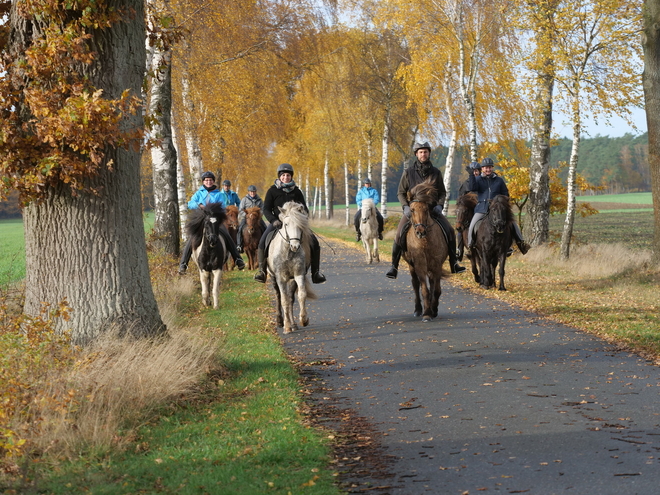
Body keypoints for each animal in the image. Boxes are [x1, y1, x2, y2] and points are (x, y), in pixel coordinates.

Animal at [270, 203, 318, 336]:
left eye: (300, 224)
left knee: (291, 298)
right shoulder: (280, 278)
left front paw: (303, 319)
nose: (295, 246)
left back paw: (294, 325)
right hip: (273, 278)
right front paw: (286, 327)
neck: (288, 252)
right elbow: (284, 300)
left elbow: (301, 295)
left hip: (291, 279)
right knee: (278, 296)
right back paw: (280, 321)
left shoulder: (299, 274)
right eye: (286, 224)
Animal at [402, 178, 448, 322]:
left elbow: (436, 290)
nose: (420, 232)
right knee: (415, 284)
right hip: (412, 266)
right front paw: (427, 313)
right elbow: (424, 290)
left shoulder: (437, 265)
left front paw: (434, 310)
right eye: (411, 210)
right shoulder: (420, 265)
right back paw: (418, 310)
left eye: (426, 209)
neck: (425, 242)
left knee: (432, 284)